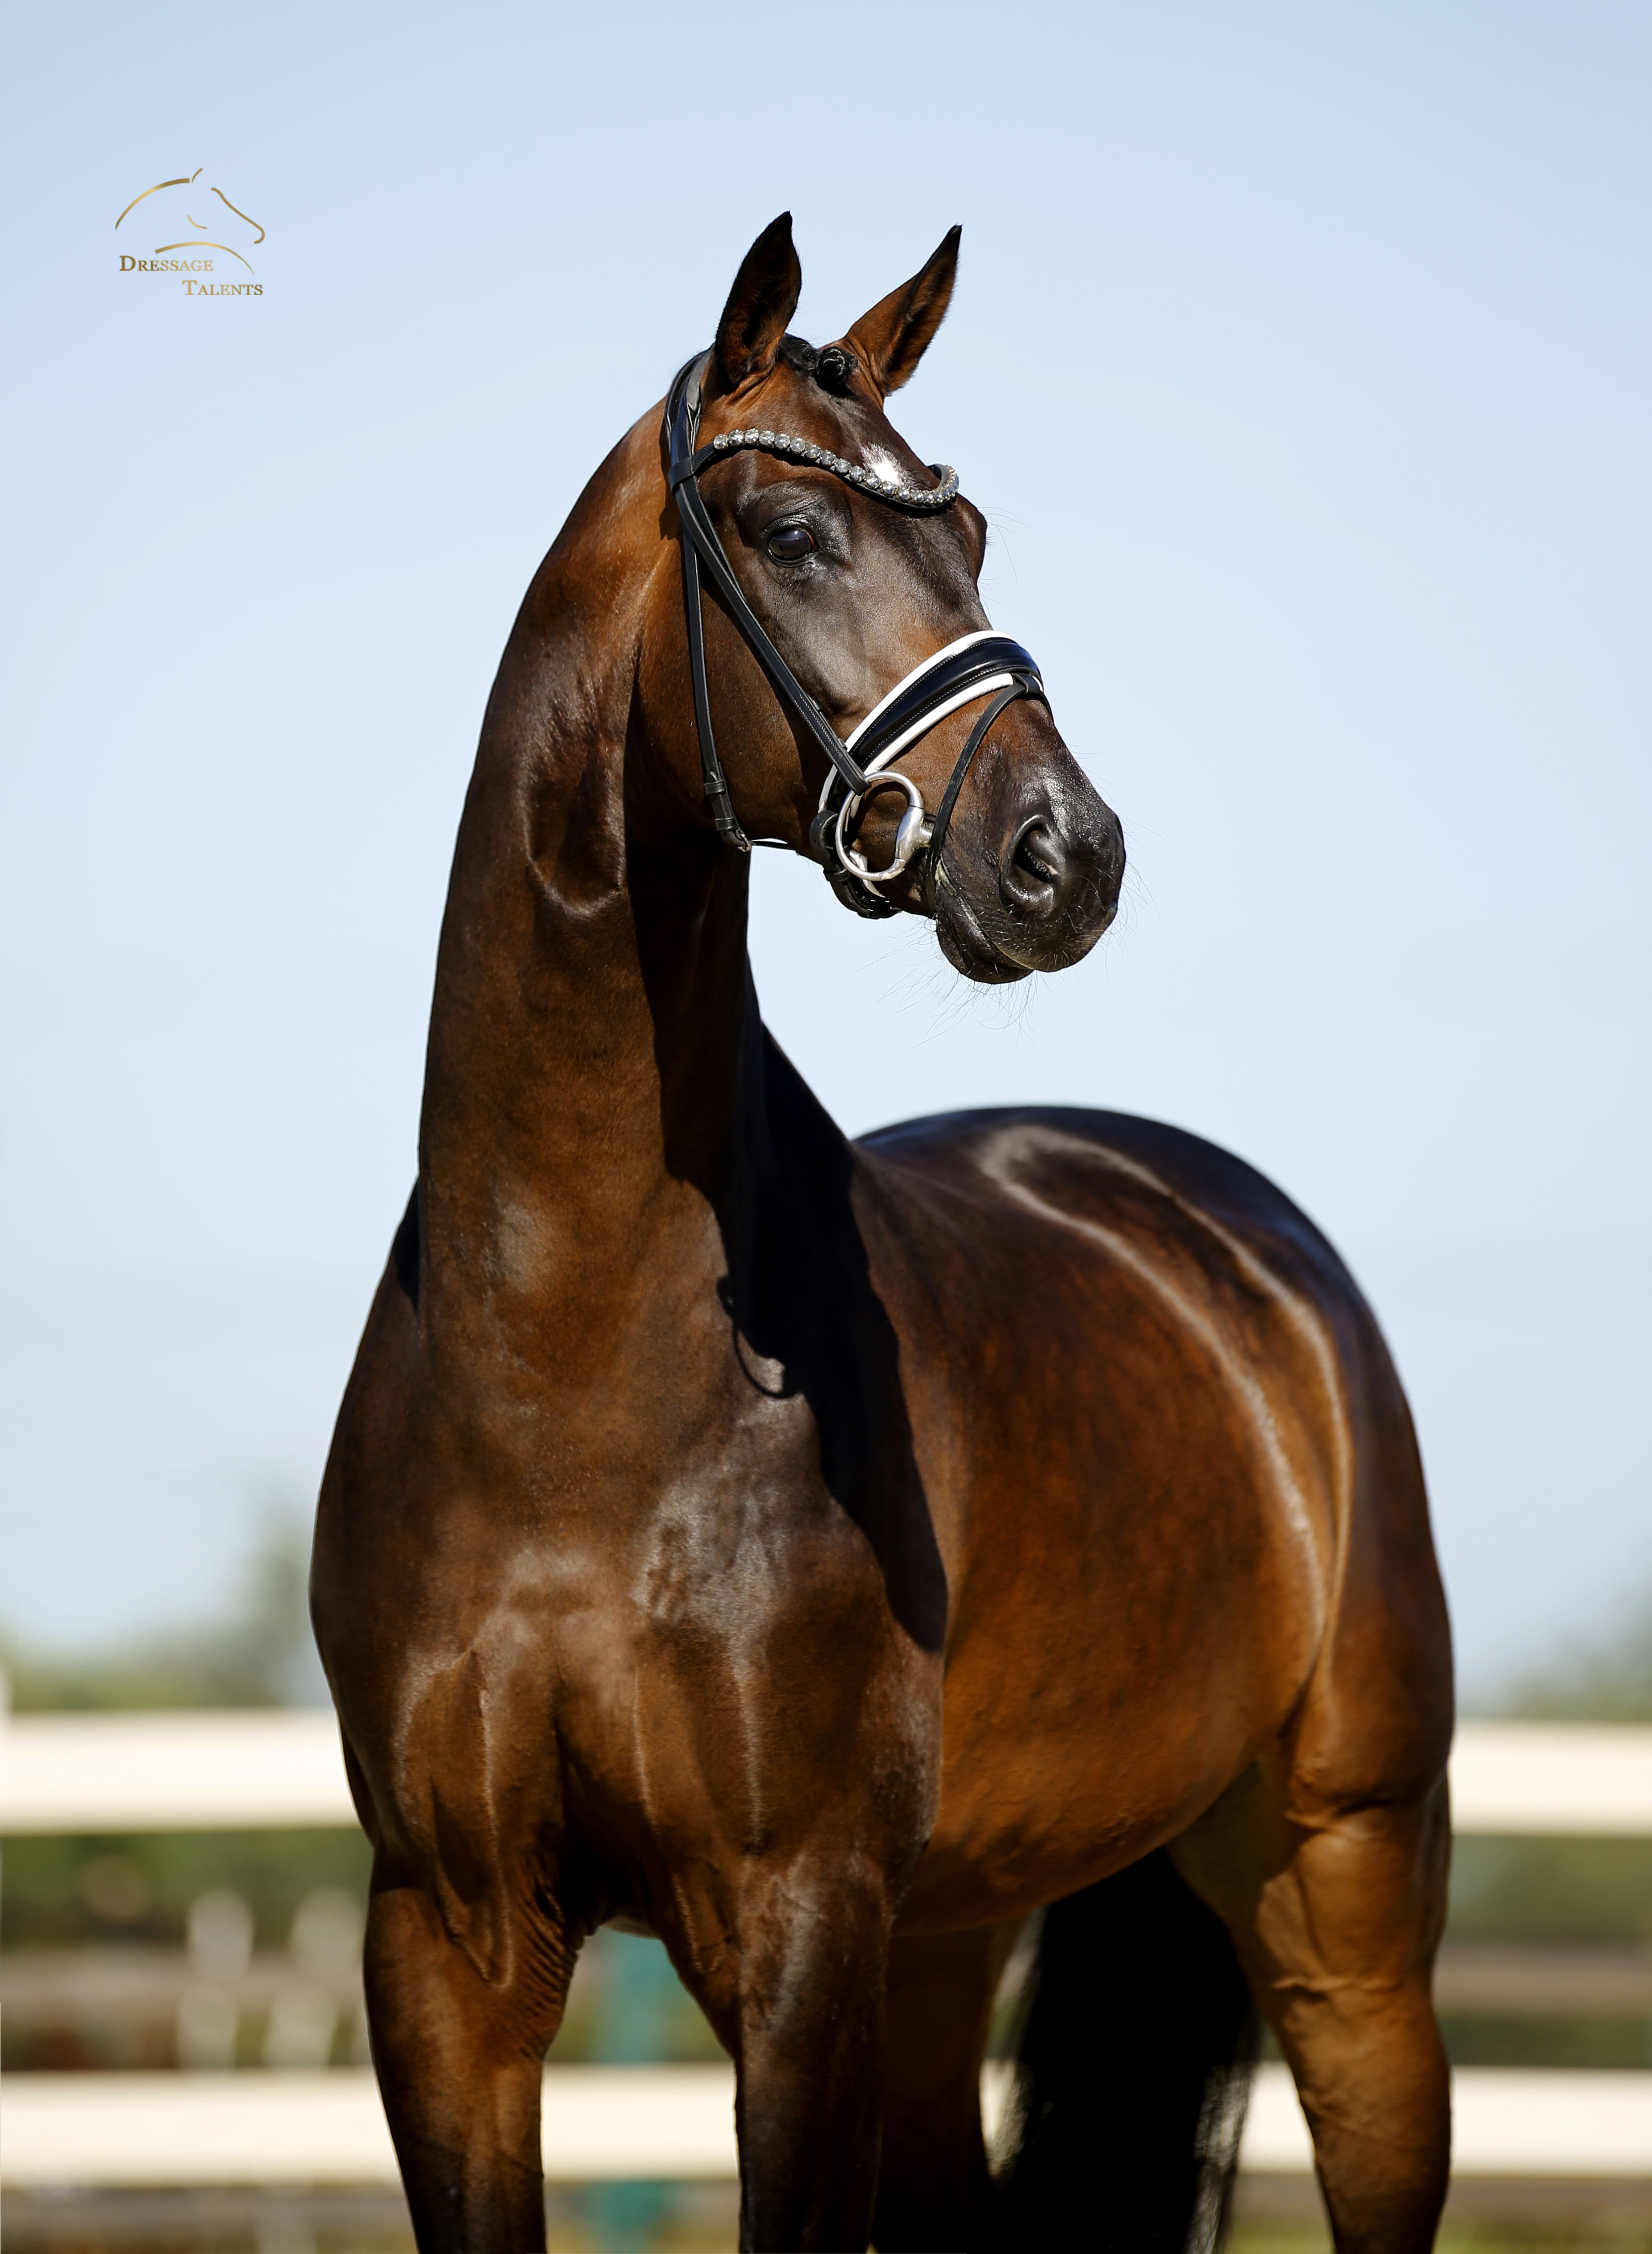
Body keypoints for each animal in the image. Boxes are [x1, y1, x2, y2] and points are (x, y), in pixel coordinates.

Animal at [312, 214, 1454, 2253]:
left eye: (973, 529)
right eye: (789, 534)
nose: (1066, 856)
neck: (560, 1355)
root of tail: (1234, 1242)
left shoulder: (799, 1925)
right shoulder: (447, 1945)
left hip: (1347, 1893)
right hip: (950, 1939)